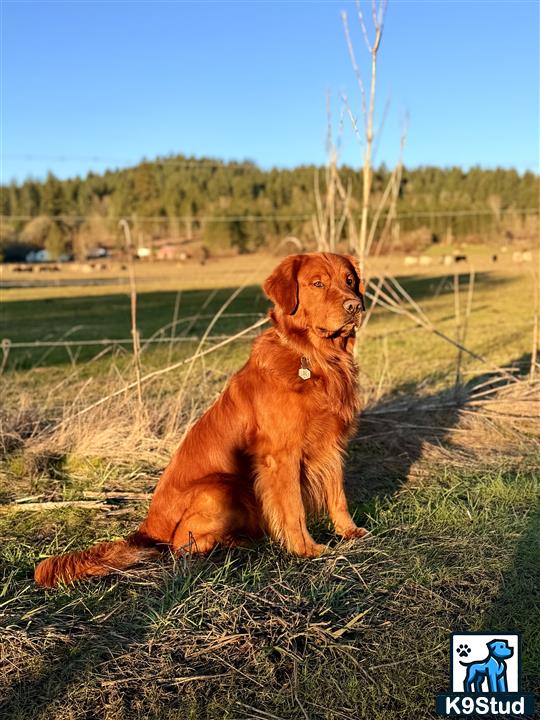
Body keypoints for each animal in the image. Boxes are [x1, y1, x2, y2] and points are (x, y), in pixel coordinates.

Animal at [33, 250, 368, 588]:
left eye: (350, 281)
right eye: (317, 283)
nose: (355, 306)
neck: (318, 359)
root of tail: (147, 527)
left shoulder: (332, 445)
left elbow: (338, 495)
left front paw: (349, 532)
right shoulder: (281, 455)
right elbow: (292, 507)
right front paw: (306, 549)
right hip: (220, 488)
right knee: (181, 545)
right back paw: (233, 544)